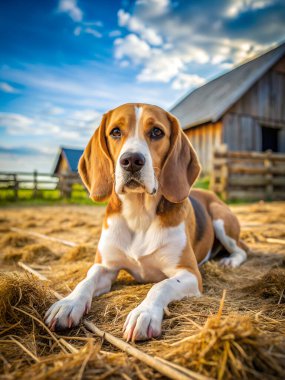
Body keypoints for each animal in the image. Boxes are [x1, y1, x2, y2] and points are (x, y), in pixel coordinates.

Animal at [45, 103, 246, 342]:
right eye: (115, 132)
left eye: (157, 132)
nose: (131, 161)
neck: (139, 214)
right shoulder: (105, 266)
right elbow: (86, 280)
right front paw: (68, 303)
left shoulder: (189, 273)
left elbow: (161, 285)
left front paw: (144, 313)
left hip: (220, 218)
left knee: (242, 249)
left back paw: (230, 260)